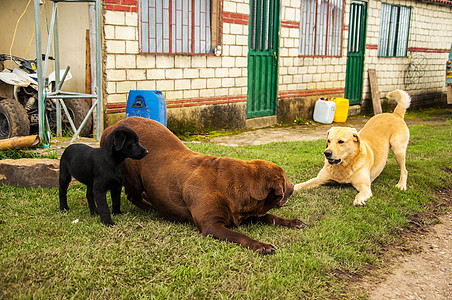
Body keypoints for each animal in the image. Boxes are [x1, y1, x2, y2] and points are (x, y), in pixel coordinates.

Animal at [103, 116, 304, 253]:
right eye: (285, 180)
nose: (294, 186)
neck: (236, 185)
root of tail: (111, 127)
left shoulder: (247, 213)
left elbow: (271, 217)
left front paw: (291, 222)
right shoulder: (211, 225)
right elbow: (240, 235)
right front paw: (261, 245)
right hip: (133, 174)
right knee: (133, 195)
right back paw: (150, 207)